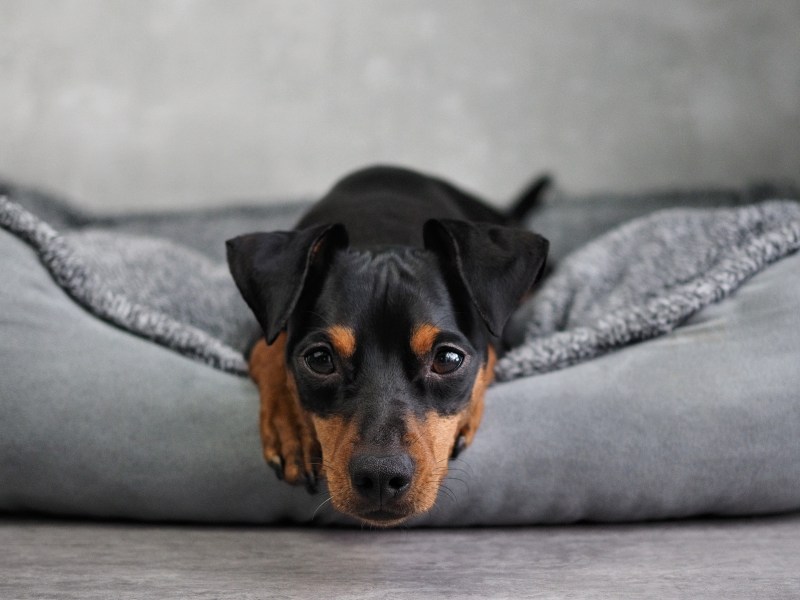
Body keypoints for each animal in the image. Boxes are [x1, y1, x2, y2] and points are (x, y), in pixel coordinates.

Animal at [228, 164, 548, 524]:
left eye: (448, 359)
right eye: (320, 360)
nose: (380, 476)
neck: (381, 235)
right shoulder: (259, 332)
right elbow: (269, 351)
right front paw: (293, 429)